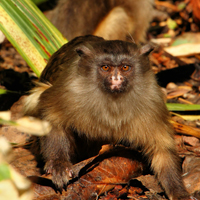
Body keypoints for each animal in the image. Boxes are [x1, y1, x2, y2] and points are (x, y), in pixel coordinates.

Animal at [24, 35, 191, 199]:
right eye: (106, 67)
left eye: (125, 67)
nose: (116, 79)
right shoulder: (70, 90)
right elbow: (50, 115)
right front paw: (59, 164)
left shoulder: (152, 99)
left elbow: (162, 149)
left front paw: (177, 191)